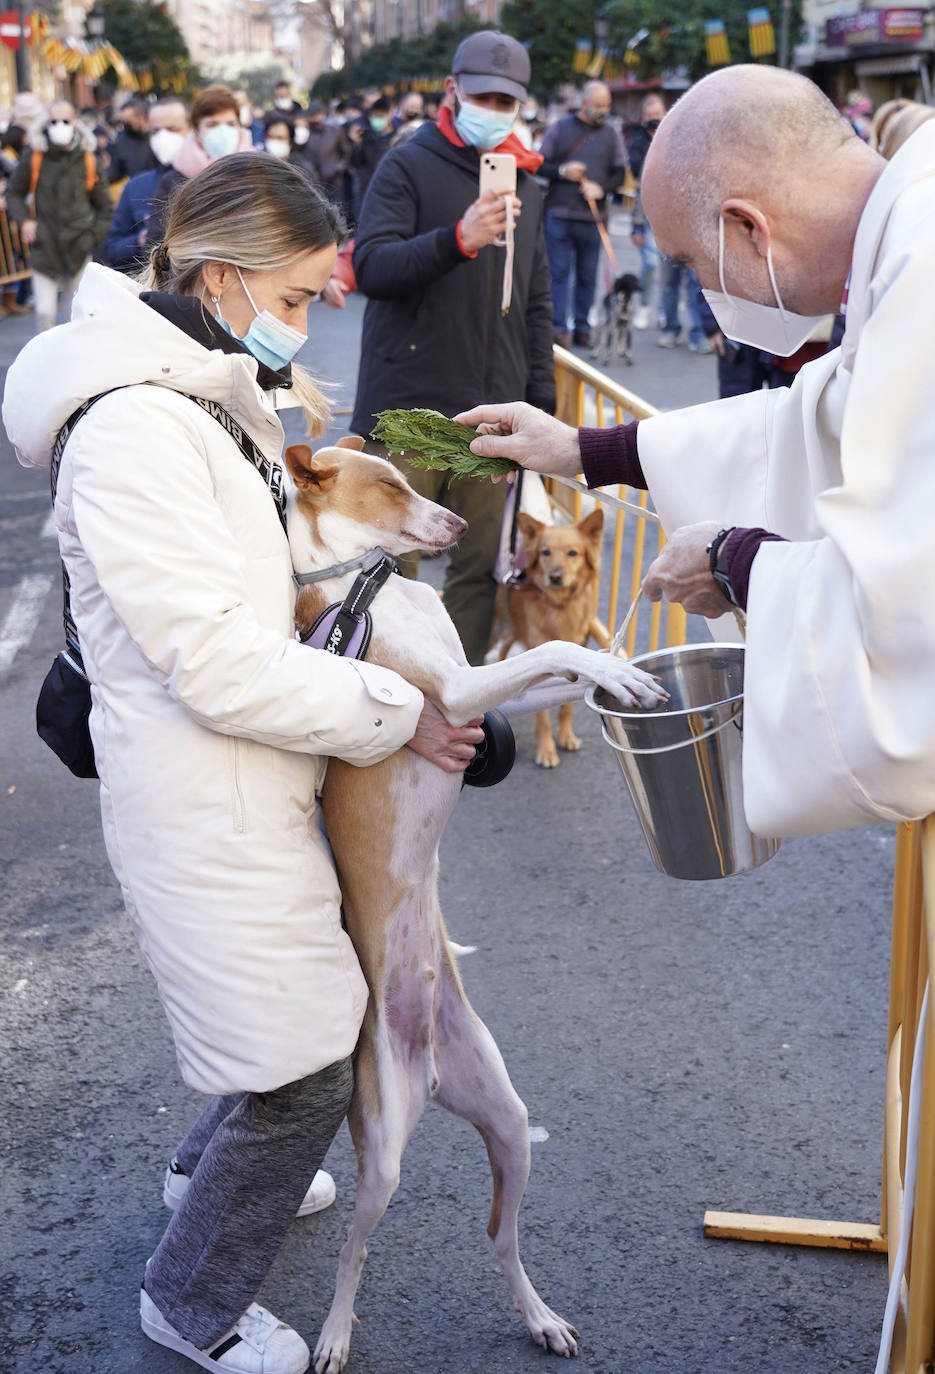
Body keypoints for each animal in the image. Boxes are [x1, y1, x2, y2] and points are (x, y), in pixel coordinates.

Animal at [284, 442, 665, 1374]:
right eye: (387, 486)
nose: (460, 521)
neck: (366, 586)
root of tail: (426, 1067)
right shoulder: (452, 695)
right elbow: (555, 643)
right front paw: (615, 668)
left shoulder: (483, 690)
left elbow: (554, 664)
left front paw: (617, 670)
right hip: (383, 1153)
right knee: (354, 1252)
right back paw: (333, 1335)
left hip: (508, 1120)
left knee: (500, 1236)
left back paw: (538, 1317)